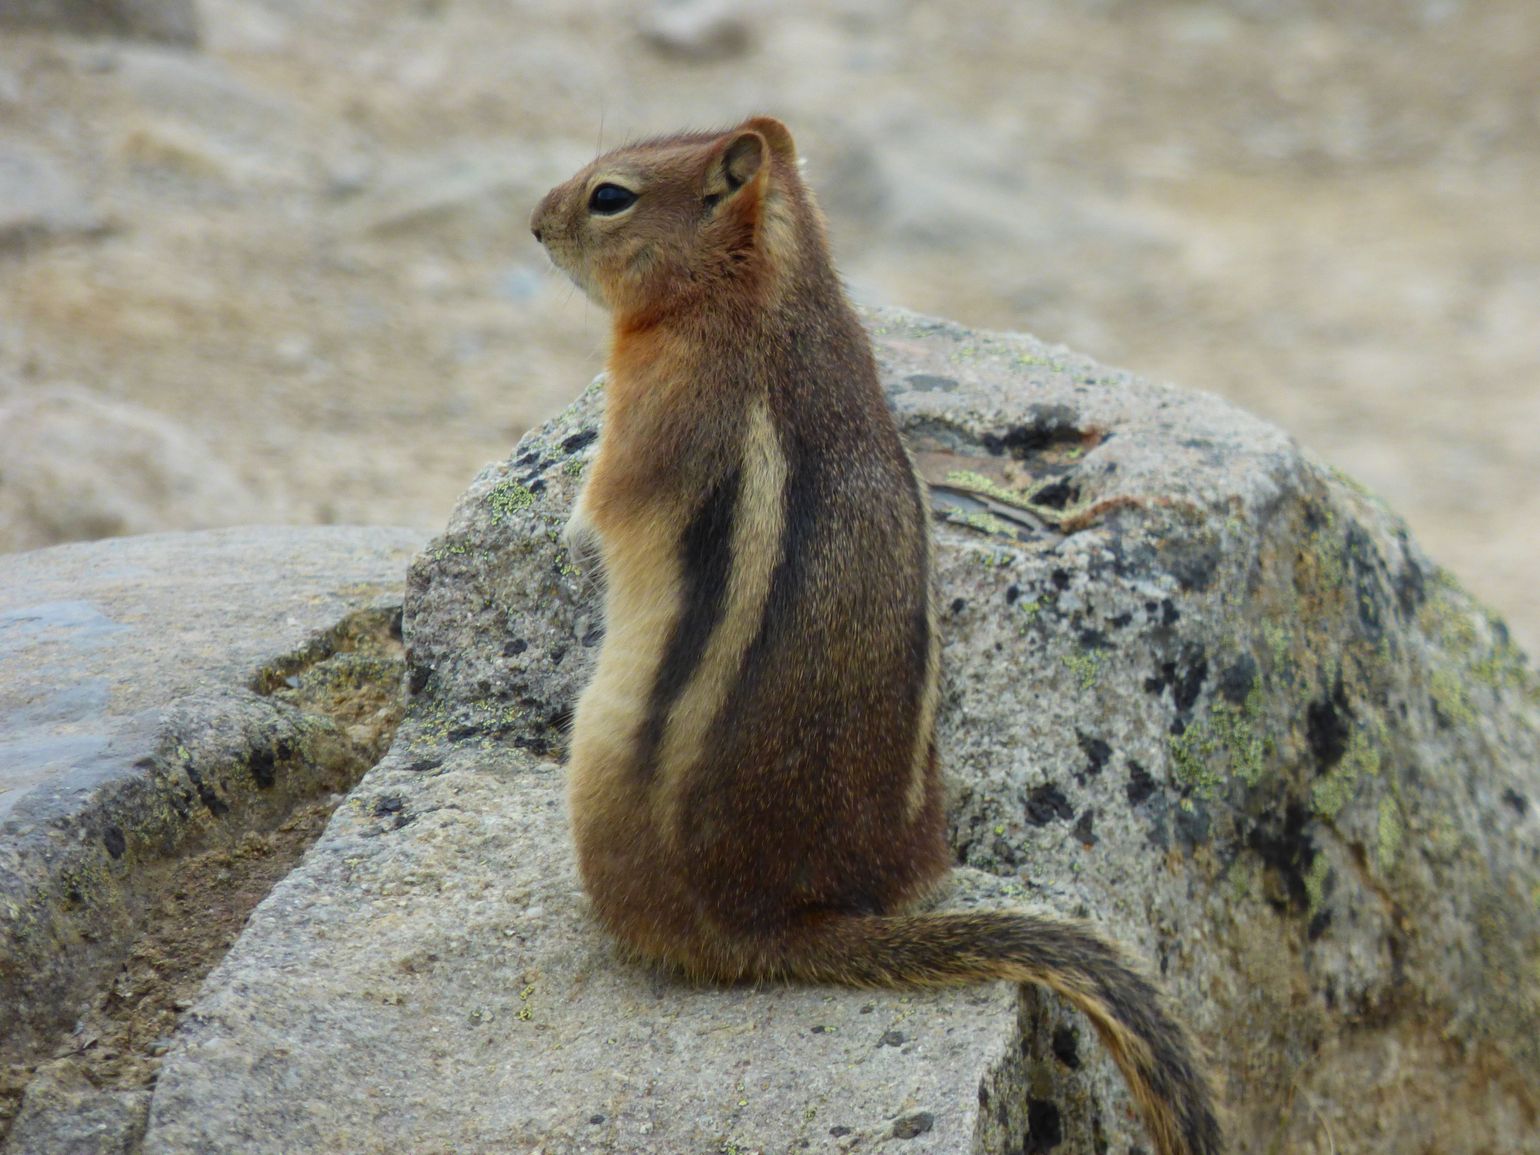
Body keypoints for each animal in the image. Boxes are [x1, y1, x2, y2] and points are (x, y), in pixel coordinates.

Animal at [530, 117, 1223, 1155]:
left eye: (609, 196)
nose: (534, 225)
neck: (764, 287)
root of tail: (791, 919)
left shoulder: (658, 411)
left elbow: (595, 504)